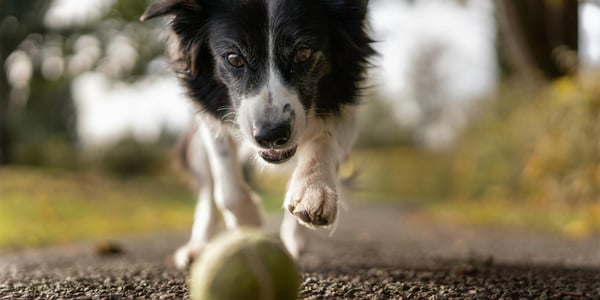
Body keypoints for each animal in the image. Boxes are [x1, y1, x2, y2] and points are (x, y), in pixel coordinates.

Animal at [142, 0, 372, 268]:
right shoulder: (210, 112)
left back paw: (295, 236)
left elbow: (323, 140)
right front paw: (249, 223)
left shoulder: (346, 98)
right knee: (208, 191)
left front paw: (313, 191)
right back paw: (197, 248)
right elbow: (226, 187)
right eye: (234, 58)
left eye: (303, 54)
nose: (271, 135)